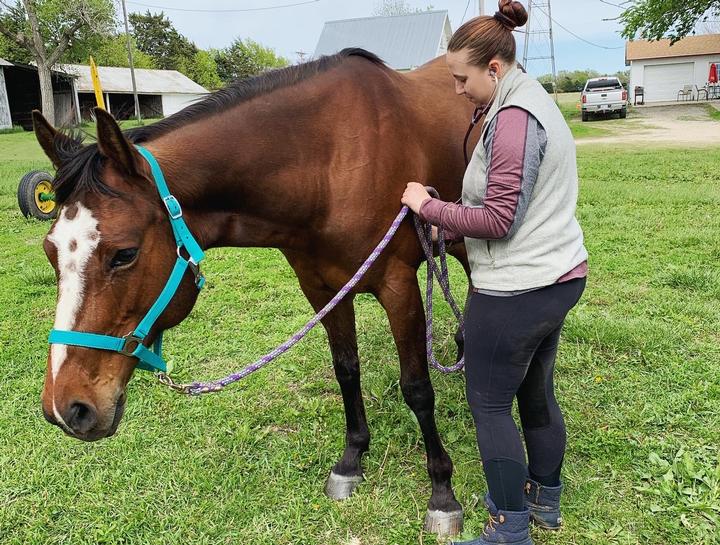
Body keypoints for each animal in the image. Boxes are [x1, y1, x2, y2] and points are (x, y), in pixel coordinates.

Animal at [38, 49, 478, 532]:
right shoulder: (322, 289)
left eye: (124, 254)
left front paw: (442, 492)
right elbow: (346, 370)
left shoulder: (398, 286)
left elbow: (416, 387)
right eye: (49, 250)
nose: (67, 408)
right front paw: (351, 459)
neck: (331, 161)